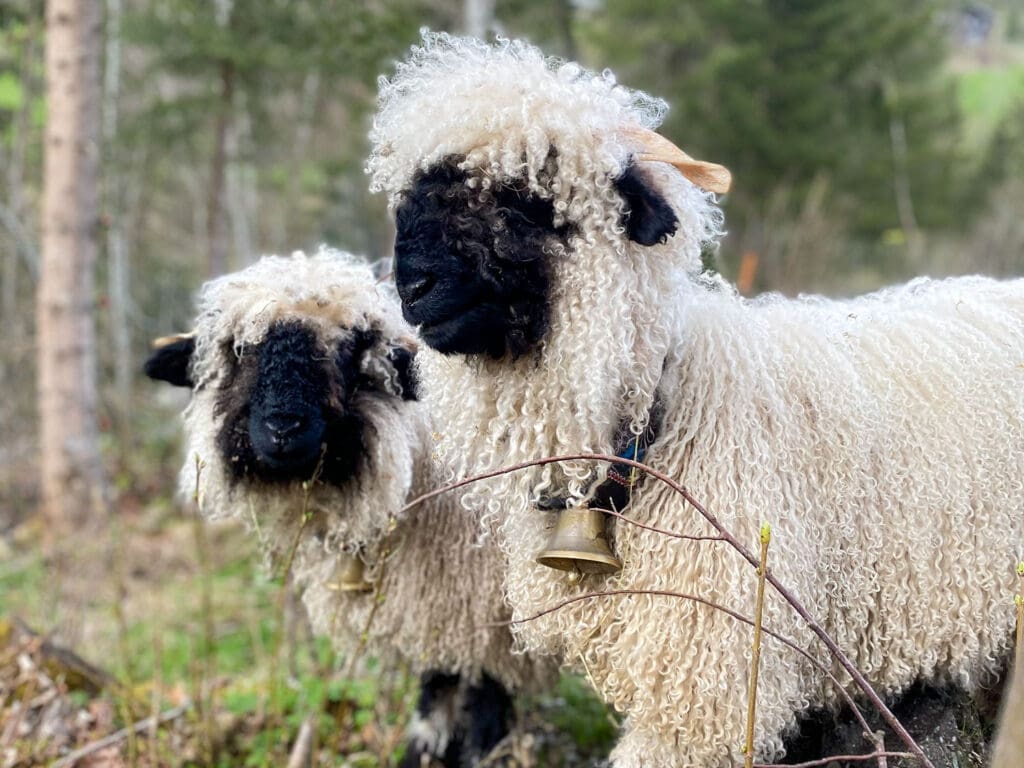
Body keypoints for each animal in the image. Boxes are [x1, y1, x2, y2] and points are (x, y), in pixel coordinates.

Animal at [142, 247, 552, 768]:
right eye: (239, 351)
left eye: (350, 352)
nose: (283, 428)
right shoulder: (442, 601)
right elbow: (436, 689)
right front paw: (423, 752)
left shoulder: (488, 604)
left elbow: (482, 700)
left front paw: (482, 753)